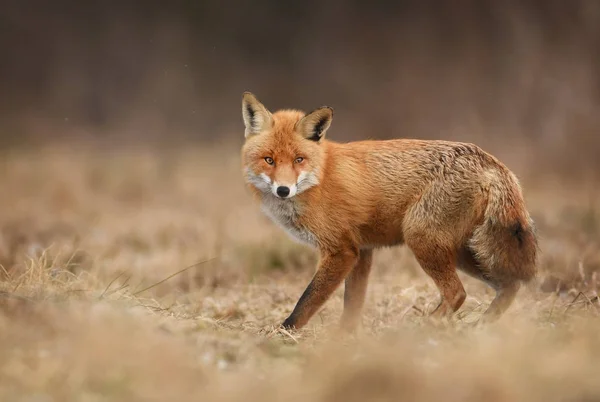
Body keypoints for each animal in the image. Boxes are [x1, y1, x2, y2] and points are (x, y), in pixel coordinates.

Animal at [239, 92, 540, 330]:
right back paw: (481, 327)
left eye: (299, 159)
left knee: (458, 293)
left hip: (422, 239)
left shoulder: (341, 250)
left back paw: (420, 329)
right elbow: (352, 306)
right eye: (269, 160)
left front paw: (282, 335)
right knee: (509, 286)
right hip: (464, 252)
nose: (283, 190)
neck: (320, 176)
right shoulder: (361, 252)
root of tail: (491, 161)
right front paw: (343, 340)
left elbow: (306, 302)